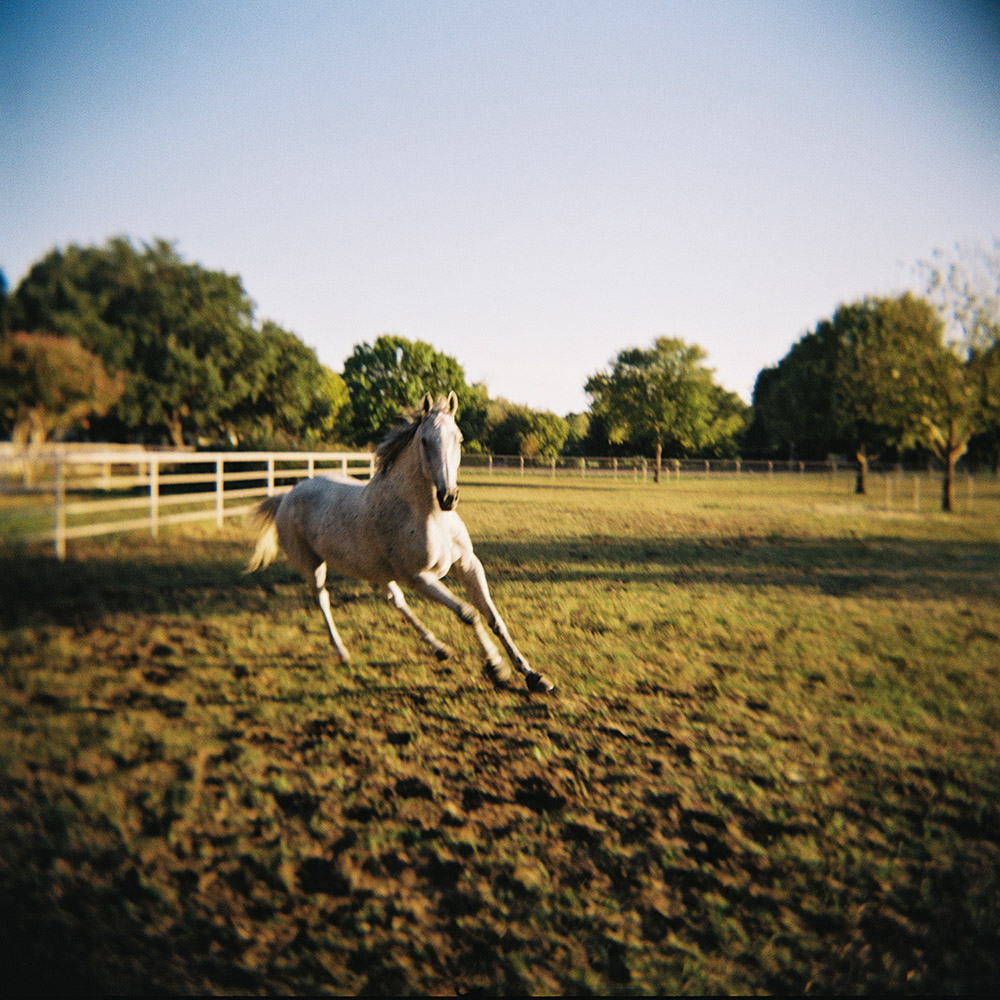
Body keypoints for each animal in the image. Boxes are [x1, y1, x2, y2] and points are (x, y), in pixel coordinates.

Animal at [245, 392, 552, 696]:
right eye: (425, 440)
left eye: (459, 438)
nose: (448, 497)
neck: (430, 516)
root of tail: (287, 496)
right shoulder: (419, 577)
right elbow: (469, 614)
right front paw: (497, 668)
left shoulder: (467, 564)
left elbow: (494, 617)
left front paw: (534, 676)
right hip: (312, 566)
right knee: (323, 599)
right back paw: (342, 652)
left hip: (377, 571)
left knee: (395, 601)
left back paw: (440, 649)